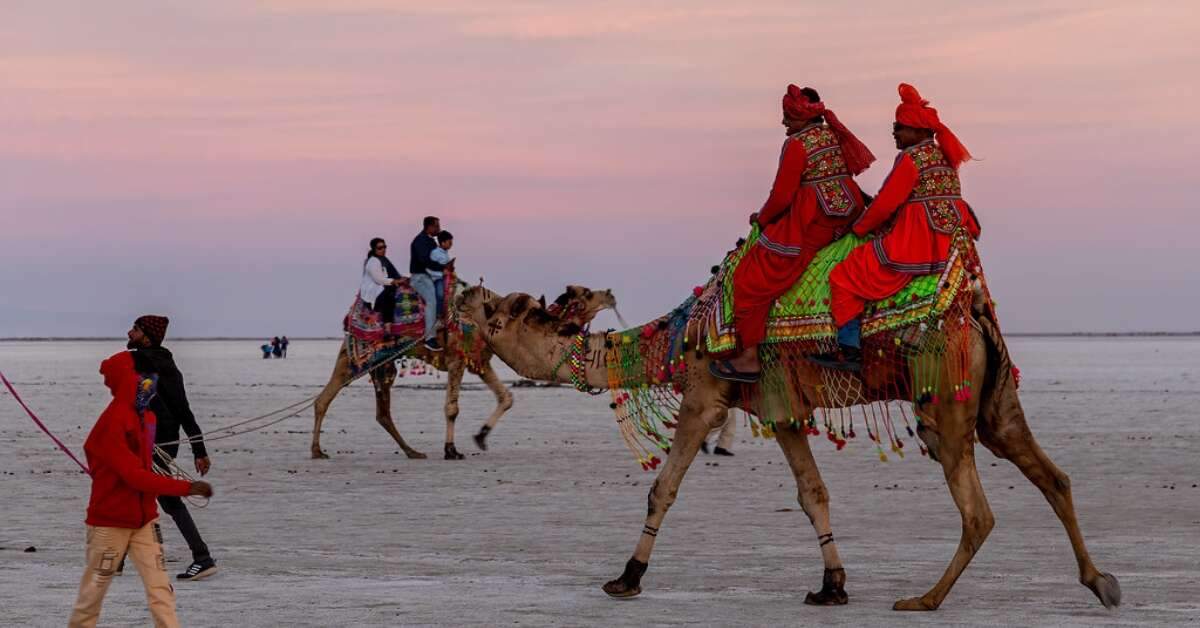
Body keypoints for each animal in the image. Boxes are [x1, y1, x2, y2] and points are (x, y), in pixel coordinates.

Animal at [311, 285, 618, 460]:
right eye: (586, 293)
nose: (611, 295)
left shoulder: (481, 361)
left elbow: (506, 397)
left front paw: (481, 437)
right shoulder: (457, 359)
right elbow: (452, 408)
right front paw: (451, 450)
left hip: (381, 363)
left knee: (380, 411)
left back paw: (412, 452)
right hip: (356, 357)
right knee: (326, 398)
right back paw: (317, 451)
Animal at [455, 285, 1121, 612]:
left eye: (499, 311)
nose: (461, 304)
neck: (676, 340)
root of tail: (977, 317)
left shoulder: (706, 395)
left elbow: (662, 487)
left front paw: (626, 577)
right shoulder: (783, 410)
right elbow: (812, 493)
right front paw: (832, 586)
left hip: (947, 404)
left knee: (978, 511)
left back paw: (924, 599)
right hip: (992, 402)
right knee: (1053, 475)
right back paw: (1099, 582)